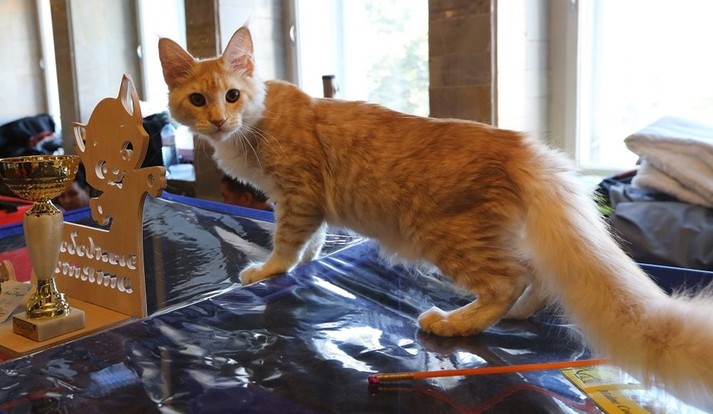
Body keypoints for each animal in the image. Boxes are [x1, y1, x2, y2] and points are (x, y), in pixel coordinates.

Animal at [159, 26, 713, 408]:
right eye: (198, 99)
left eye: (232, 95)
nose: (217, 121)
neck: (256, 123)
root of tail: (523, 148)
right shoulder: (301, 203)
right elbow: (310, 244)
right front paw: (299, 264)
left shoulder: (297, 196)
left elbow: (286, 243)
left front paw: (268, 270)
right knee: (538, 277)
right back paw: (518, 315)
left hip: (447, 237)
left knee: (508, 280)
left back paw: (455, 322)